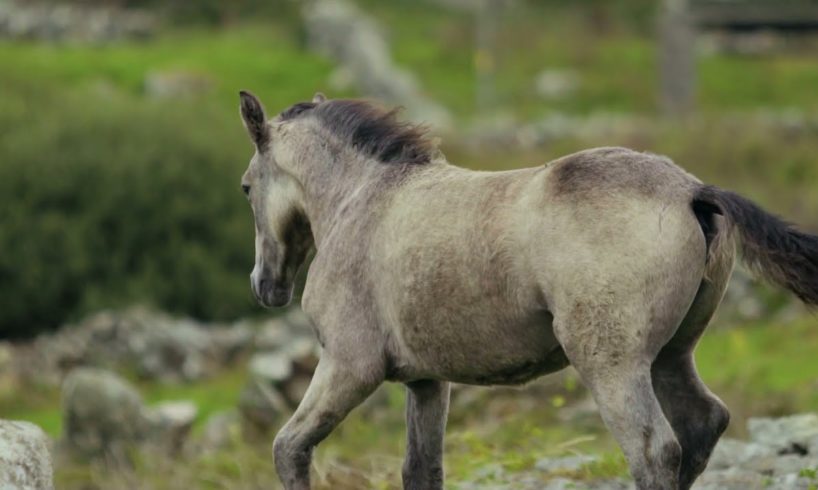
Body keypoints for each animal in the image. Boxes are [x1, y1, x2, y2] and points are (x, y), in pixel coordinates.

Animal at [236, 89, 816, 490]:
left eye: (245, 187)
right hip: (672, 354)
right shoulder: (426, 382)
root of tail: (692, 192)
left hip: (613, 365)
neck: (363, 201)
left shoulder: (349, 365)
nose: (264, 285)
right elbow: (421, 470)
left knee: (654, 452)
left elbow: (289, 448)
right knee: (703, 424)